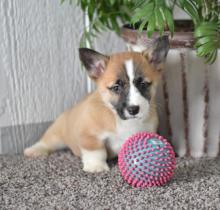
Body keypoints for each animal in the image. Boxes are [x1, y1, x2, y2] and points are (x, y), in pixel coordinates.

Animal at [24, 35, 169, 172]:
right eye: (116, 87)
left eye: (143, 84)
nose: (133, 109)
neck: (120, 119)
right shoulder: (90, 136)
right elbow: (97, 151)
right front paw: (96, 166)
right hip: (57, 133)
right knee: (47, 141)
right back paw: (34, 150)